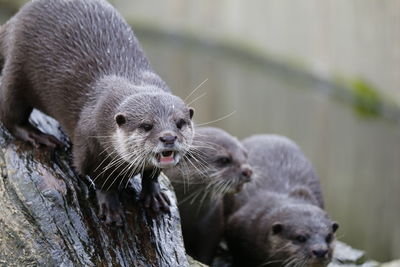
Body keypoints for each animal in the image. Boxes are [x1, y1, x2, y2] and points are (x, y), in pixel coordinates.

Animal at [0, 0, 194, 226]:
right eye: (147, 125)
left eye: (180, 123)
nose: (169, 137)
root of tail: (14, 21)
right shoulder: (89, 147)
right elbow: (100, 180)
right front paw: (110, 206)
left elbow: (152, 174)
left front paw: (153, 194)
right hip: (17, 68)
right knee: (10, 113)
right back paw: (38, 136)